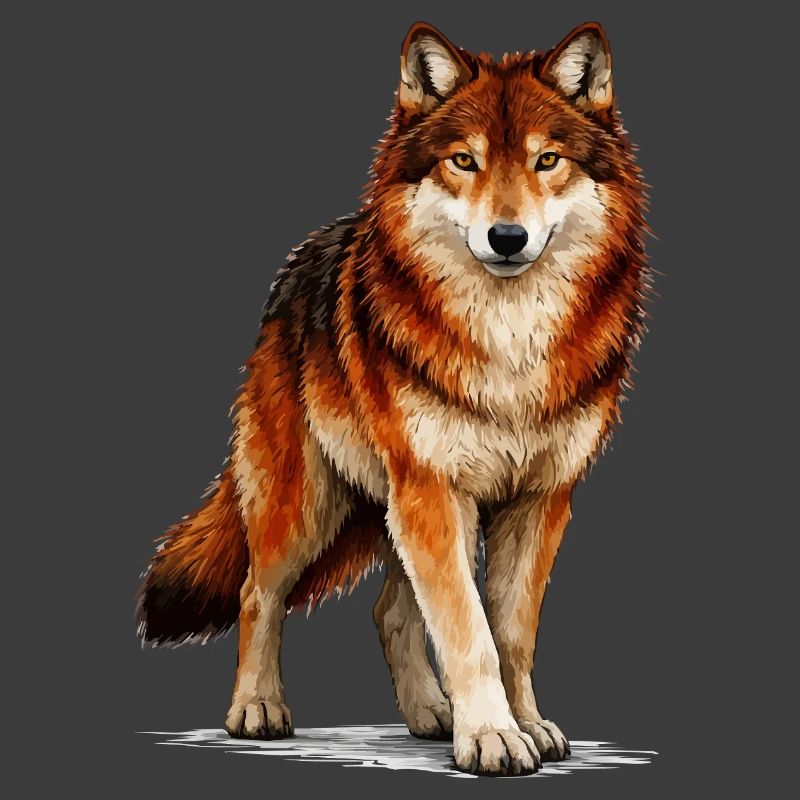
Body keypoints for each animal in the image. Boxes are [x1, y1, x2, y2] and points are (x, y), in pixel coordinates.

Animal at [137, 20, 648, 776]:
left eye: (546, 160)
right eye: (463, 162)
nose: (507, 238)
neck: (509, 342)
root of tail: (302, 261)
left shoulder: (540, 499)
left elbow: (511, 633)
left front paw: (526, 725)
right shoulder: (432, 488)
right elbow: (470, 633)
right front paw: (493, 737)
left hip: (403, 508)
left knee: (390, 610)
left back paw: (432, 715)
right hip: (312, 504)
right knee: (259, 592)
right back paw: (257, 709)